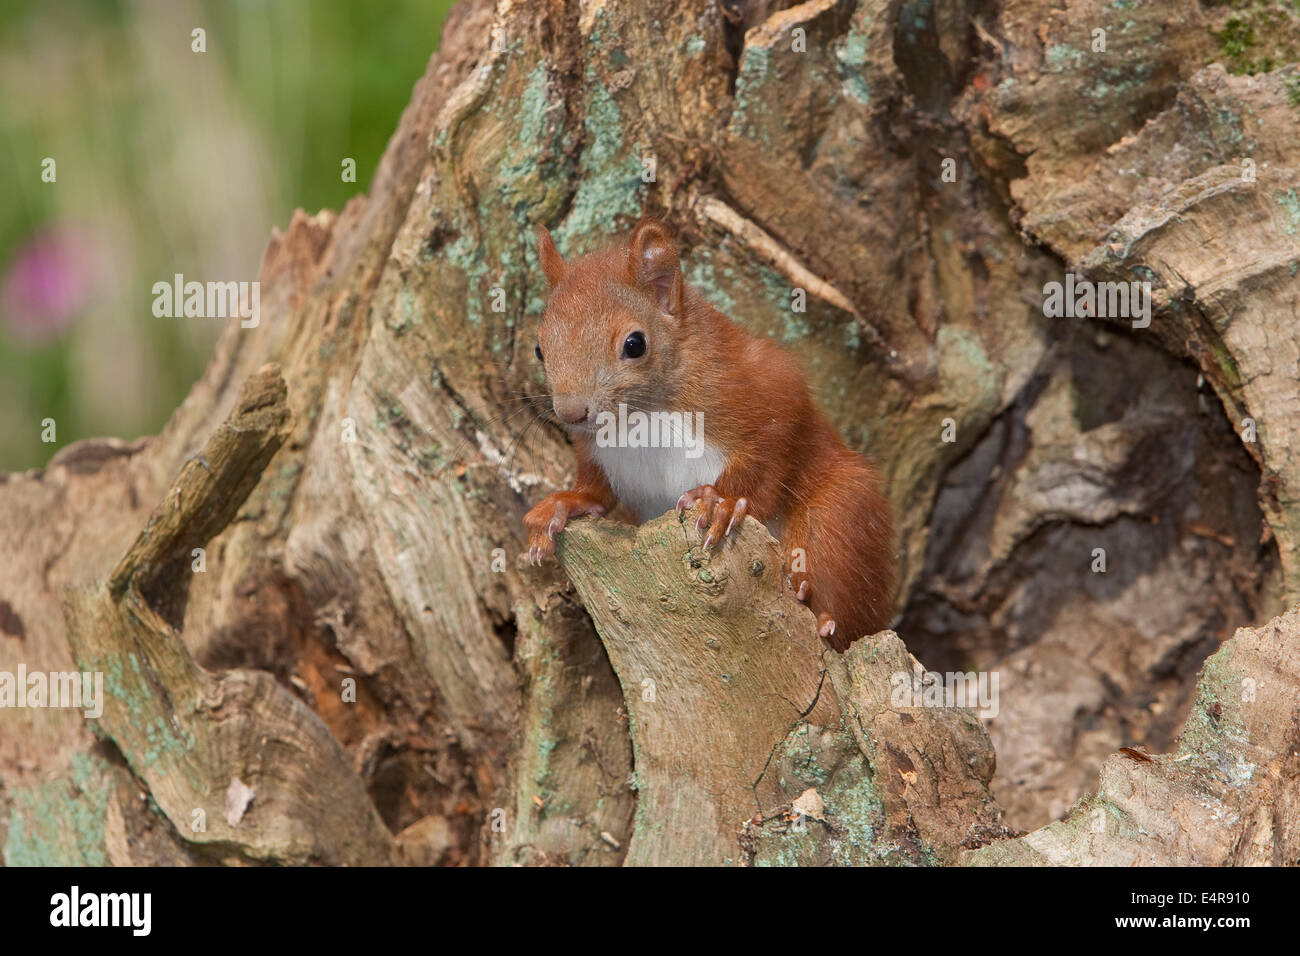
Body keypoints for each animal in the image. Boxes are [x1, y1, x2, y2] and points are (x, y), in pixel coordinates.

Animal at [520, 218, 894, 650]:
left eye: (635, 344)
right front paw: (564, 503)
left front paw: (722, 501)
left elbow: (771, 449)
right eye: (539, 349)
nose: (571, 412)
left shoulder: (764, 385)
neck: (641, 418)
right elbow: (596, 492)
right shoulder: (597, 452)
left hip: (842, 515)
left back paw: (821, 616)